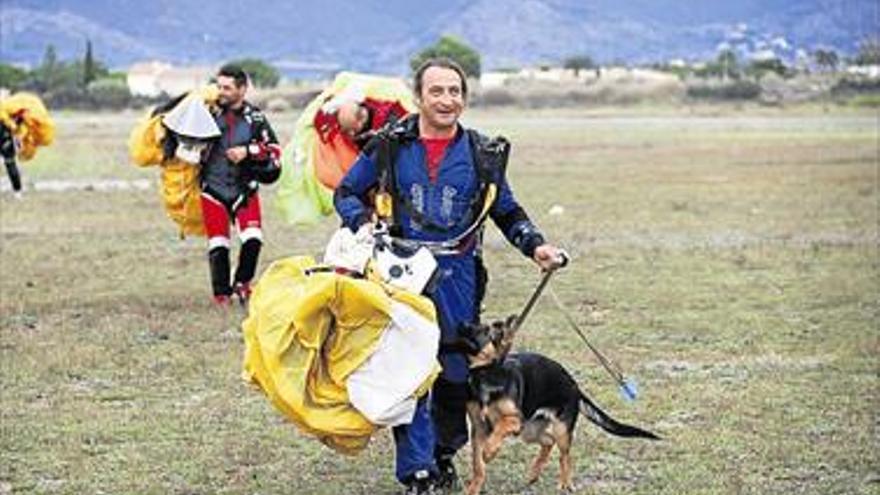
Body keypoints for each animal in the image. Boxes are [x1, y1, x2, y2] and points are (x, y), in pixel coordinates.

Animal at [460, 318, 660, 495]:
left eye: (484, 330)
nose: (462, 324)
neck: (485, 373)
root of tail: (574, 384)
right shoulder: (479, 429)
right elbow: (478, 466)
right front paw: (473, 488)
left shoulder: (515, 420)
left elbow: (498, 430)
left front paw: (489, 451)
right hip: (530, 431)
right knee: (548, 442)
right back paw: (534, 474)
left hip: (559, 430)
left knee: (565, 456)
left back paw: (565, 483)